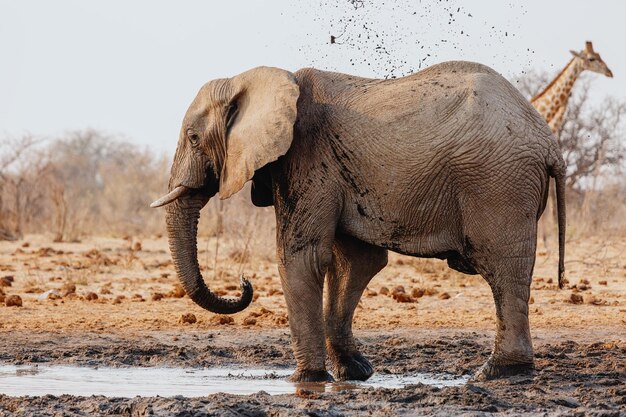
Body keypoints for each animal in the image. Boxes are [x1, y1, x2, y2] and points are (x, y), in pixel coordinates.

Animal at [152, 60, 564, 382]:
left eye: (193, 138)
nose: (244, 282)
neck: (254, 79)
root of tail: (549, 141)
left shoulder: (308, 158)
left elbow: (301, 257)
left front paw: (307, 379)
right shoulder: (338, 172)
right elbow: (357, 262)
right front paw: (355, 372)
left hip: (498, 183)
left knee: (502, 270)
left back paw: (497, 372)